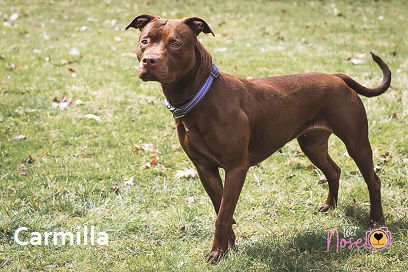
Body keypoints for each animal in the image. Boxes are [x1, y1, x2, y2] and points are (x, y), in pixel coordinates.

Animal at [126, 15, 390, 264]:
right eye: (145, 41)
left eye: (176, 44)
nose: (149, 60)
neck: (201, 96)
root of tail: (336, 77)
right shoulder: (205, 168)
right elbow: (221, 207)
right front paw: (229, 245)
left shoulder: (236, 168)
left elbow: (223, 213)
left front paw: (217, 251)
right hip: (312, 145)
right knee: (333, 170)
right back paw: (330, 206)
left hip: (356, 143)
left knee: (373, 180)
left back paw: (376, 220)